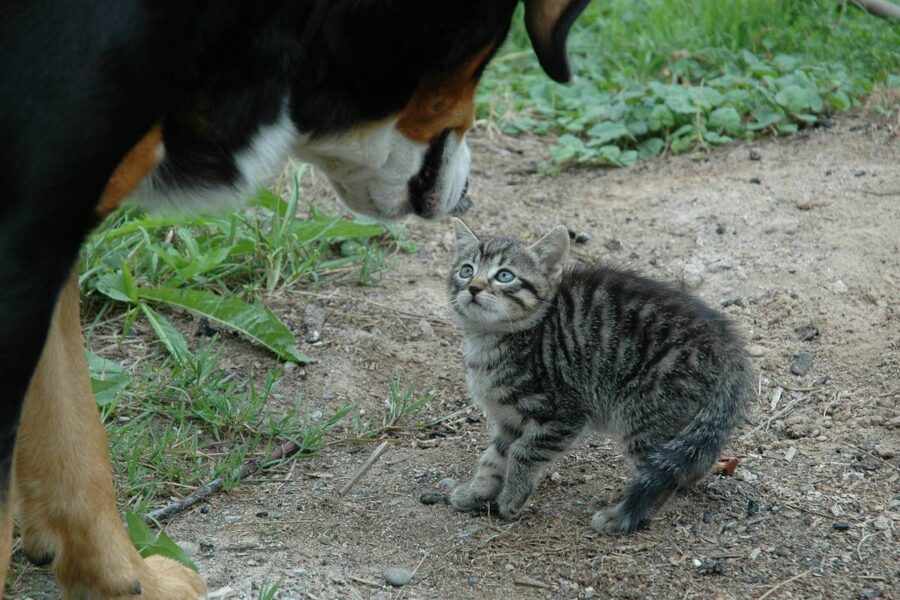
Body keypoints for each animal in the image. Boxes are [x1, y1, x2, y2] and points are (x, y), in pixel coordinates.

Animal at [444, 219, 752, 536]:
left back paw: (622, 517)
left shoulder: (564, 413)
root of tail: (728, 347)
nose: (474, 287)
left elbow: (524, 452)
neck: (489, 340)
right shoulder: (509, 419)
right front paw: (476, 492)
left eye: (504, 276)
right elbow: (493, 458)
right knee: (690, 459)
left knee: (661, 474)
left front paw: (512, 498)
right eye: (466, 270)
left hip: (645, 412)